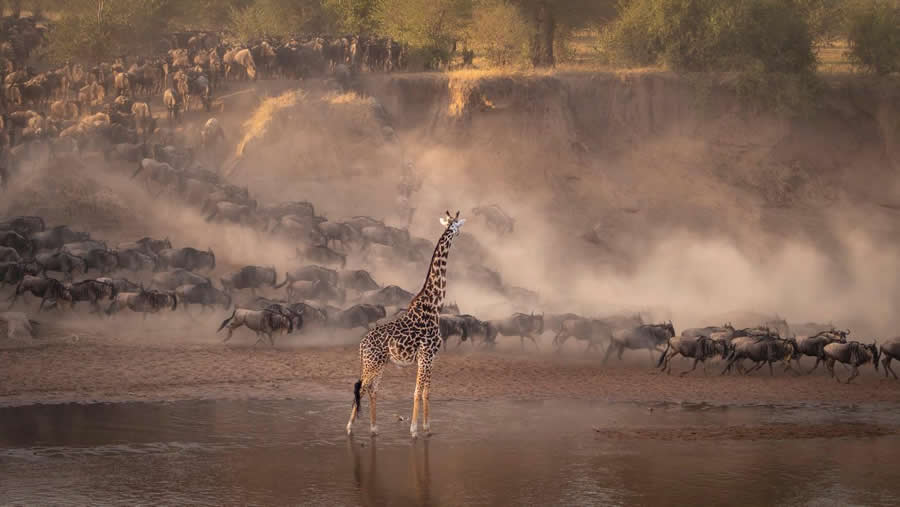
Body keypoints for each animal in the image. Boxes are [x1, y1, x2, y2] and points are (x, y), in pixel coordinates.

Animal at [347, 210, 466, 438]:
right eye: (454, 225)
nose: (456, 232)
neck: (434, 307)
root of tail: (361, 345)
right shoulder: (425, 355)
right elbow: (417, 392)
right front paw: (414, 429)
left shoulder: (431, 357)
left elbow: (427, 392)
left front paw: (427, 428)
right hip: (373, 363)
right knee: (361, 387)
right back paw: (349, 427)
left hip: (380, 363)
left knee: (372, 389)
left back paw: (374, 428)